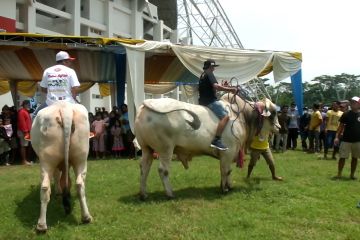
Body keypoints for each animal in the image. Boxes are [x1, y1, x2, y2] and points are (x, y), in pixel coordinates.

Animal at [30, 101, 92, 232]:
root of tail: (65, 108)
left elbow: (58, 177)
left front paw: (59, 192)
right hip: (81, 158)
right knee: (79, 184)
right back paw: (86, 217)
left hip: (47, 160)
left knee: (45, 186)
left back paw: (41, 225)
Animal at [135, 93, 282, 200]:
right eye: (273, 113)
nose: (279, 127)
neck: (241, 116)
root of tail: (146, 105)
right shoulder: (228, 152)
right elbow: (226, 170)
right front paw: (224, 189)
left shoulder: (229, 154)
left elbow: (227, 170)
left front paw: (228, 185)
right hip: (166, 149)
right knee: (163, 170)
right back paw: (170, 193)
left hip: (147, 149)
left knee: (144, 168)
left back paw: (143, 194)